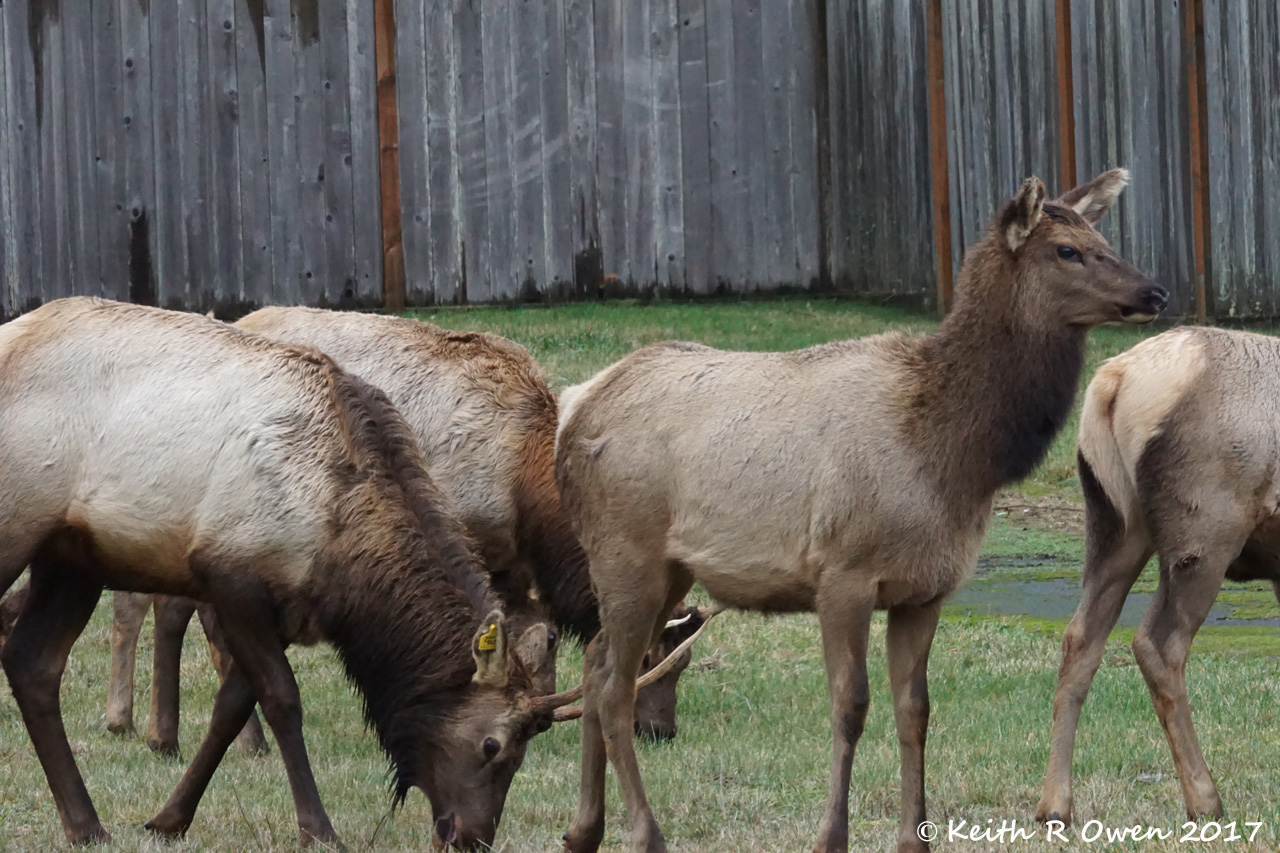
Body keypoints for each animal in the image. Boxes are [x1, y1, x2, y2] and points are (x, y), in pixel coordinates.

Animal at [0, 297, 621, 849]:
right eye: (493, 747)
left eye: (521, 754)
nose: (472, 838)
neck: (342, 547)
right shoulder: (231, 573)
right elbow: (281, 700)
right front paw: (318, 829)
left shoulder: (282, 607)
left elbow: (230, 709)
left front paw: (168, 819)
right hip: (22, 531)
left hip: (71, 559)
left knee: (33, 664)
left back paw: (86, 825)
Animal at [553, 169, 1169, 853]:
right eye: (1066, 250)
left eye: (1103, 239)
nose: (1155, 291)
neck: (953, 457)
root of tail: (574, 406)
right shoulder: (841, 572)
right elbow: (850, 706)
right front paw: (831, 835)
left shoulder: (925, 588)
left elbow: (915, 709)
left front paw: (915, 837)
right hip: (625, 550)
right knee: (613, 685)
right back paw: (645, 832)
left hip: (666, 567)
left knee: (595, 661)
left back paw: (583, 828)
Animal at [1038, 326, 1280, 827]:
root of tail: (1111, 381)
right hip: (1203, 534)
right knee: (1158, 644)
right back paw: (1205, 799)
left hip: (1114, 524)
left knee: (1080, 638)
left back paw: (1055, 804)